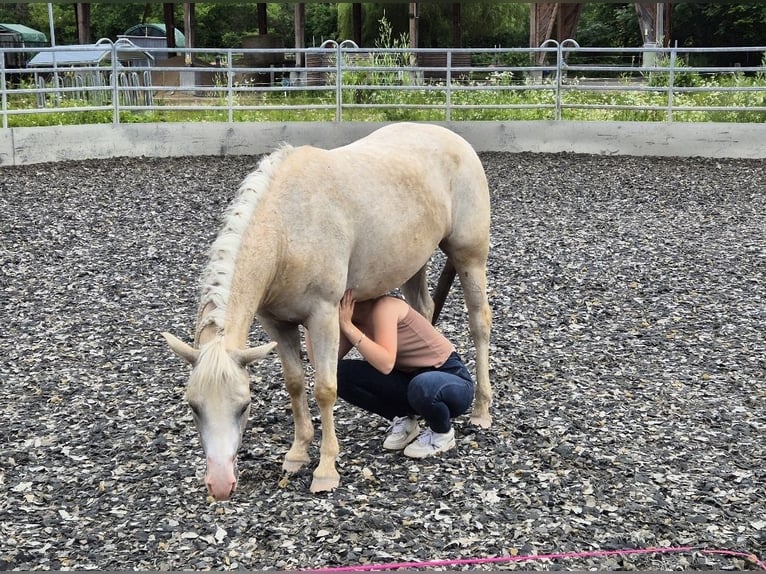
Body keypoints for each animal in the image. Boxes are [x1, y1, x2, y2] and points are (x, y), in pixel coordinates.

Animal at [165, 122, 496, 500]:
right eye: (194, 406)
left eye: (244, 405)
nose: (220, 485)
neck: (286, 231)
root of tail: (453, 138)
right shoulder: (276, 323)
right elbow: (295, 383)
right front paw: (296, 454)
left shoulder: (323, 316)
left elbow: (325, 388)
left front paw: (325, 470)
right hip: (412, 260)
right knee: (422, 310)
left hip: (470, 256)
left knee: (479, 323)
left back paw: (481, 410)